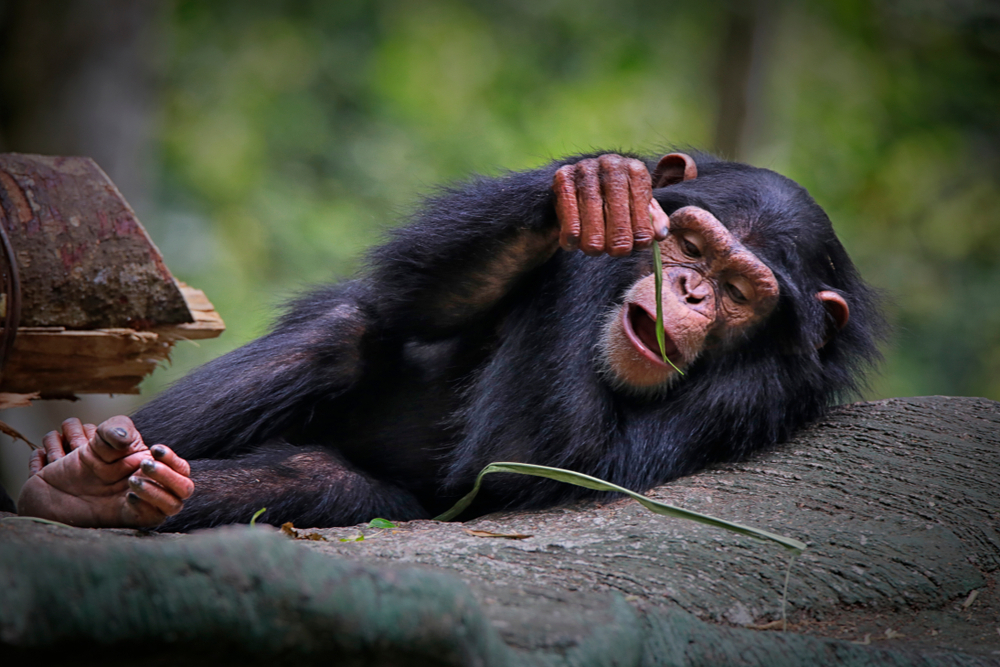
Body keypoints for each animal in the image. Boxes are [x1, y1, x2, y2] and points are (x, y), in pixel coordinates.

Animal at [17, 151, 884, 532]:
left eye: (740, 291)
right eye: (693, 246)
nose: (693, 293)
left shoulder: (766, 395)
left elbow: (541, 458)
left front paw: (602, 218)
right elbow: (416, 302)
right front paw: (599, 192)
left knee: (324, 480)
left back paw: (102, 493)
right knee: (342, 334)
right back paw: (74, 467)